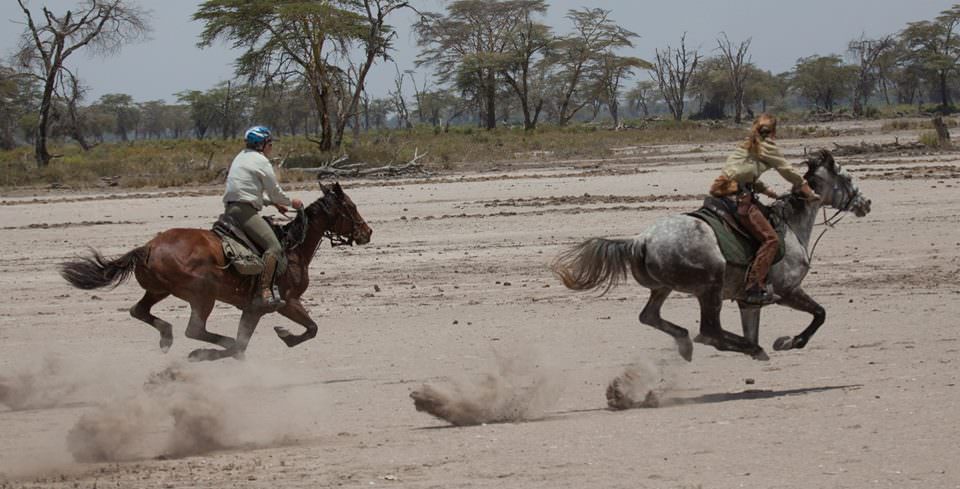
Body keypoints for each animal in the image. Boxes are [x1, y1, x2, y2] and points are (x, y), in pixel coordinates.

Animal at [61, 181, 372, 360]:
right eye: (351, 206)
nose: (367, 232)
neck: (292, 246)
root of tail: (147, 248)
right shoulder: (280, 303)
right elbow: (307, 329)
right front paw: (283, 334)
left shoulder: (255, 309)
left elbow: (305, 330)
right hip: (203, 295)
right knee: (194, 329)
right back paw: (205, 345)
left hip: (158, 290)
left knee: (140, 311)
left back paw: (167, 336)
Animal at [552, 149, 872, 358]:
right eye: (847, 178)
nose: (865, 203)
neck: (791, 226)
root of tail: (641, 240)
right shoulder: (788, 290)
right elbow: (820, 314)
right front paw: (789, 341)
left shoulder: (748, 303)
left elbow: (755, 325)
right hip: (710, 287)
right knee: (709, 332)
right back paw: (743, 348)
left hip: (663, 288)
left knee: (651, 317)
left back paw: (688, 343)